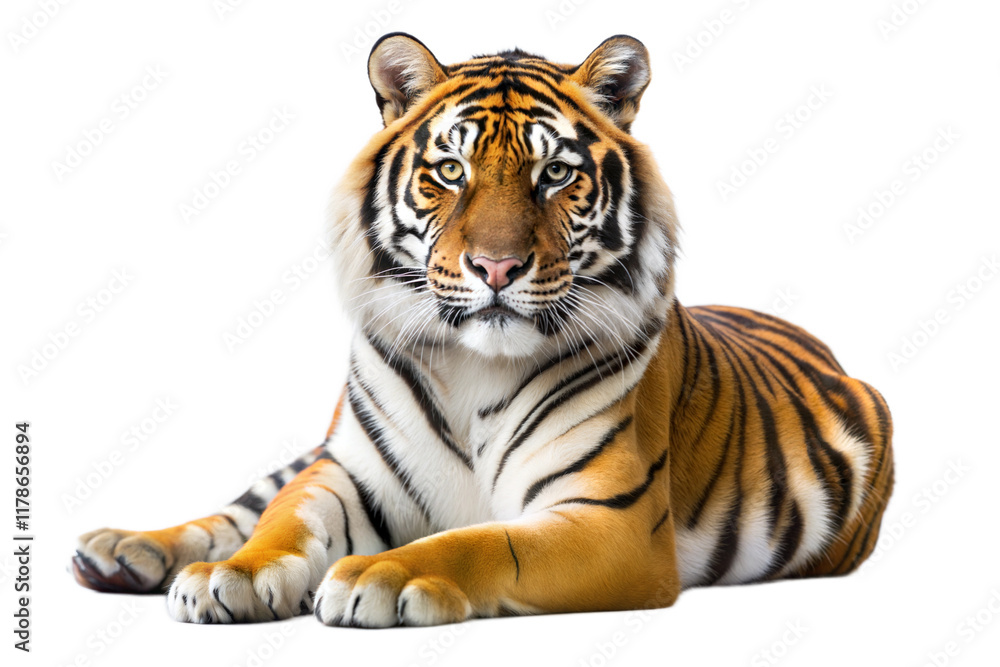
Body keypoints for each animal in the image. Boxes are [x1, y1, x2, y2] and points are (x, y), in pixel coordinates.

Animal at [71, 33, 894, 626]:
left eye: (556, 175)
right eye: (451, 172)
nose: (497, 267)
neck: (473, 366)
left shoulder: (611, 520)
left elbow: (480, 542)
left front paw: (379, 572)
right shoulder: (343, 472)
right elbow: (278, 521)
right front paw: (230, 576)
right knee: (240, 505)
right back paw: (120, 549)